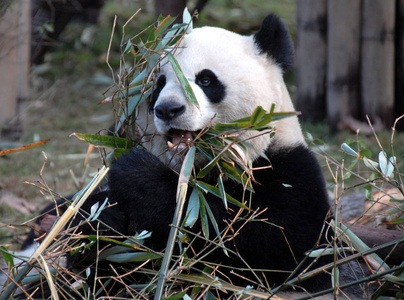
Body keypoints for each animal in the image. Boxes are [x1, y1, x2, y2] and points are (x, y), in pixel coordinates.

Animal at [7, 13, 338, 298]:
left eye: (206, 80)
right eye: (158, 83)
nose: (168, 110)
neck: (194, 172)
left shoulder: (288, 175)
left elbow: (258, 244)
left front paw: (138, 176)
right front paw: (98, 221)